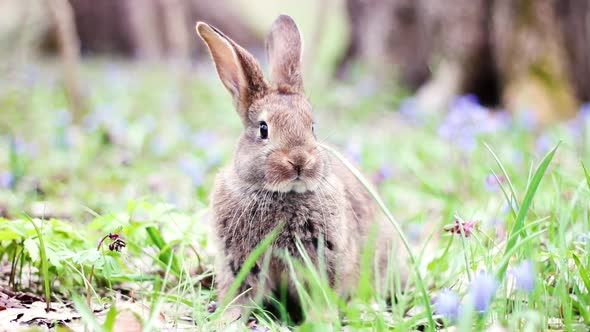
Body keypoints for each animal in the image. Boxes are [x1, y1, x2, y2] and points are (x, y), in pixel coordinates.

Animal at [197, 14, 404, 322]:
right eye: (263, 129)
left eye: (312, 127)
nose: (299, 161)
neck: (280, 195)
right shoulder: (239, 261)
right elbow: (240, 295)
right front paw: (226, 318)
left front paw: (322, 321)